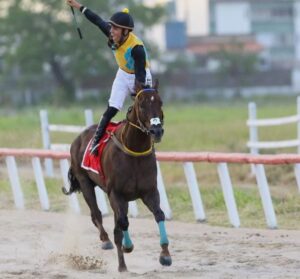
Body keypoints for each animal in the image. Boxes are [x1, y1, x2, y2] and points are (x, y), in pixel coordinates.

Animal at [62, 81, 172, 274]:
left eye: (160, 102)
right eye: (141, 105)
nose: (156, 130)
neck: (134, 150)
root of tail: (78, 137)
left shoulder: (149, 192)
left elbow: (159, 214)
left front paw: (165, 254)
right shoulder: (116, 194)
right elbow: (122, 223)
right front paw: (126, 249)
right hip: (85, 183)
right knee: (96, 214)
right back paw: (107, 242)